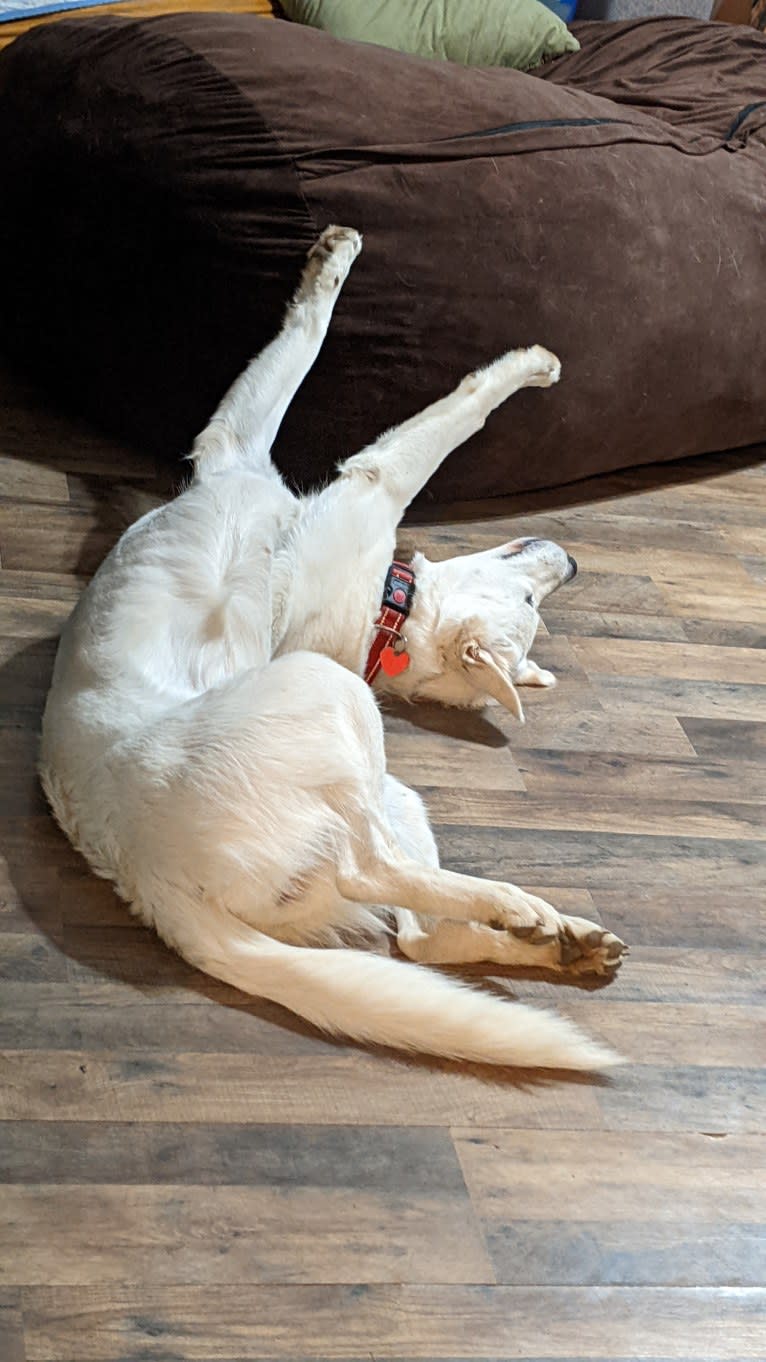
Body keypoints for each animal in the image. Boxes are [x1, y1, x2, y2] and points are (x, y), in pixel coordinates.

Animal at [38, 228, 626, 1067]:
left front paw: (524, 361)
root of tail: (143, 874)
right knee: (417, 934)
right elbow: (313, 348)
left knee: (373, 875)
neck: (383, 622)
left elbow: (341, 359)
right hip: (382, 788)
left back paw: (521, 911)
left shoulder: (294, 457)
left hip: (327, 707)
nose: (571, 563)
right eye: (530, 601)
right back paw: (552, 937)